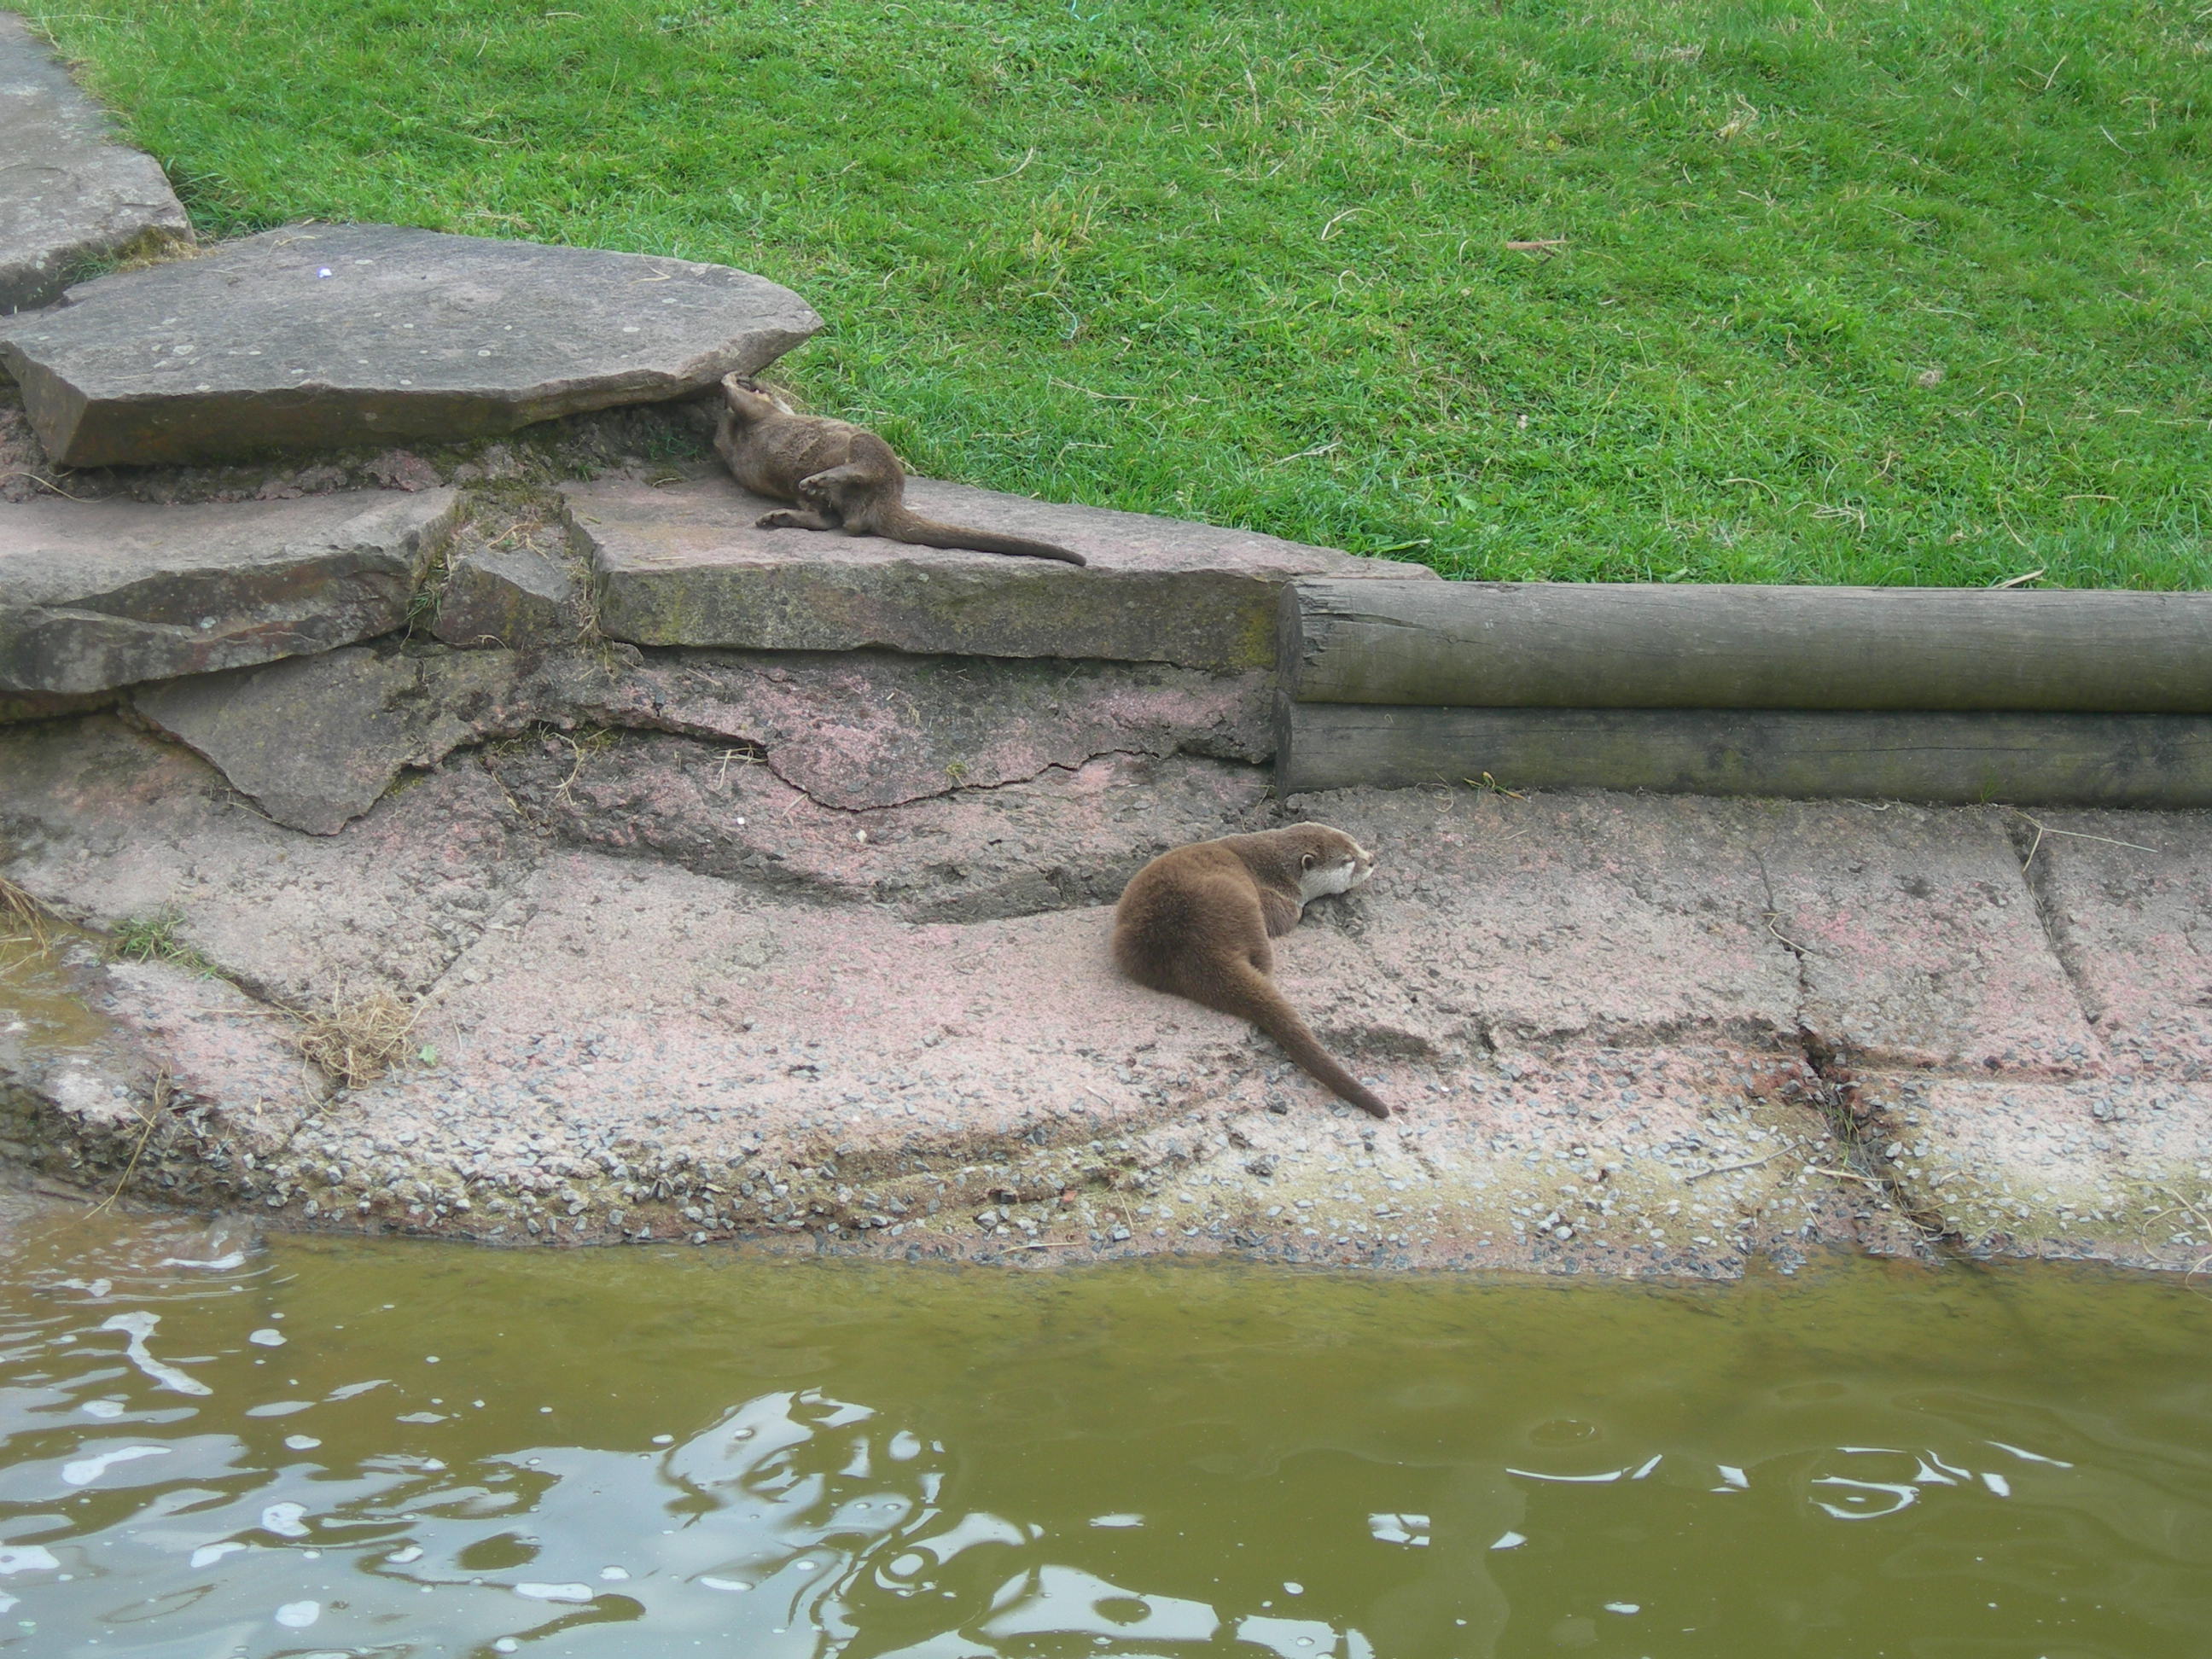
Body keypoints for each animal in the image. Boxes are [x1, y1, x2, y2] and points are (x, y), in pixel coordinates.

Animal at [712, 375, 1084, 570]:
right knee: (846, 494)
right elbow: (737, 412)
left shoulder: (759, 420)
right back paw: (807, 493)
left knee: (835, 515)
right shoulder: (756, 421)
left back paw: (798, 500)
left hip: (860, 455)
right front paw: (730, 380)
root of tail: (888, 499)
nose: (755, 379)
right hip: (866, 447)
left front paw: (731, 381)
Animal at [1115, 827, 1388, 1123]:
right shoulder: (1282, 898)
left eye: (1355, 843)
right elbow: (1288, 916)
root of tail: (1185, 943)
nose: (1372, 860)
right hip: (1243, 907)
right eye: (1348, 860)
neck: (1272, 868)